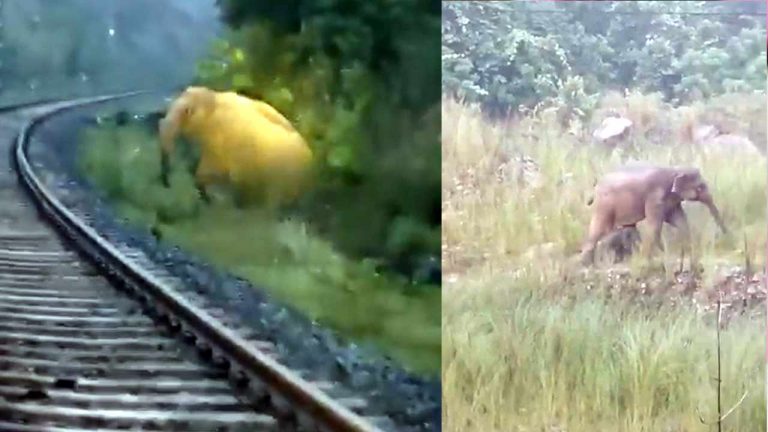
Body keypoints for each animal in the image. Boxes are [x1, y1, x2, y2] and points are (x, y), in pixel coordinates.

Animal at [580, 164, 727, 264]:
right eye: (700, 187)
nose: (726, 237)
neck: (676, 169)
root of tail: (595, 186)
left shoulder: (670, 202)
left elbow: (679, 219)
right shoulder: (655, 198)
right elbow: (655, 224)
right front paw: (662, 254)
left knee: (628, 228)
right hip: (604, 206)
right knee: (599, 228)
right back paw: (587, 263)